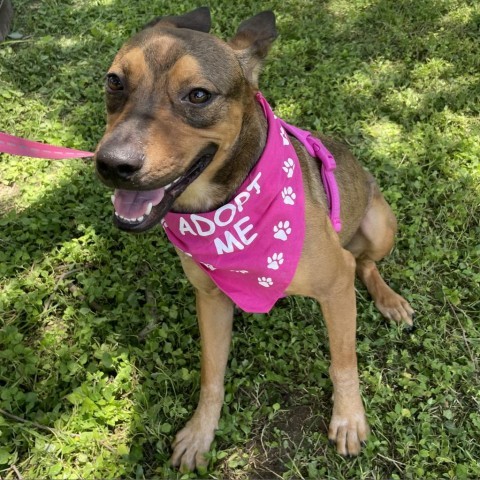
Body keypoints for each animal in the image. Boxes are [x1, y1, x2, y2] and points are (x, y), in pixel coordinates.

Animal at [94, 7, 412, 470]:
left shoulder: (336, 285)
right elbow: (211, 374)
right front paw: (201, 432)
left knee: (364, 262)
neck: (224, 207)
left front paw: (349, 418)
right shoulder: (210, 297)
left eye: (199, 95)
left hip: (380, 226)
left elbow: (343, 360)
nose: (112, 164)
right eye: (115, 81)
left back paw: (389, 299)